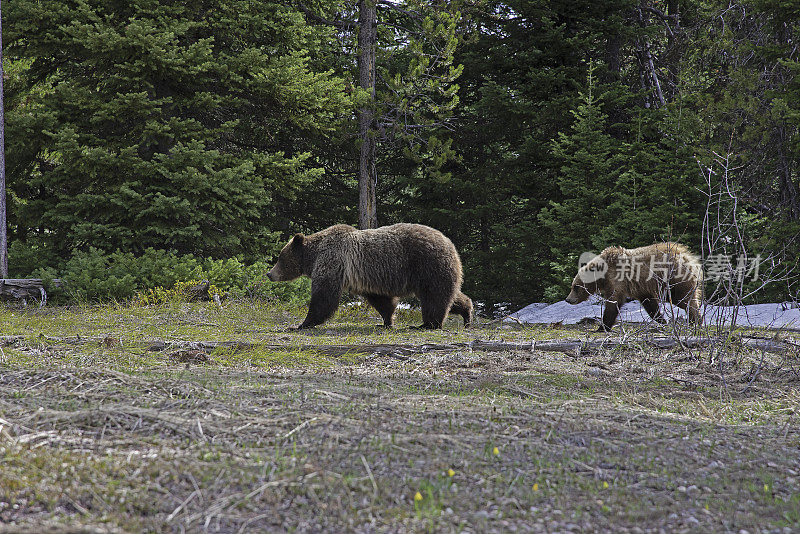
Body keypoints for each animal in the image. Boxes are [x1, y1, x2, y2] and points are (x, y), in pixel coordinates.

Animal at [266, 223, 472, 330]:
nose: (269, 274)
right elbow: (382, 301)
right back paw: (467, 314)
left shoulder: (332, 260)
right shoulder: (369, 279)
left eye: (280, 258)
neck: (313, 255)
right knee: (449, 295)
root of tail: (449, 243)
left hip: (427, 264)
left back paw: (428, 324)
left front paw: (302, 324)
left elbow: (323, 297)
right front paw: (387, 321)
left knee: (434, 297)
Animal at [564, 244, 704, 336]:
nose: (568, 299)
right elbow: (650, 304)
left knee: (684, 299)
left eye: (575, 287)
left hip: (674, 279)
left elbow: (613, 303)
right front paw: (662, 320)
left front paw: (601, 327)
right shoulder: (641, 289)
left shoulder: (617, 280)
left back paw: (695, 320)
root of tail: (689, 258)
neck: (603, 275)